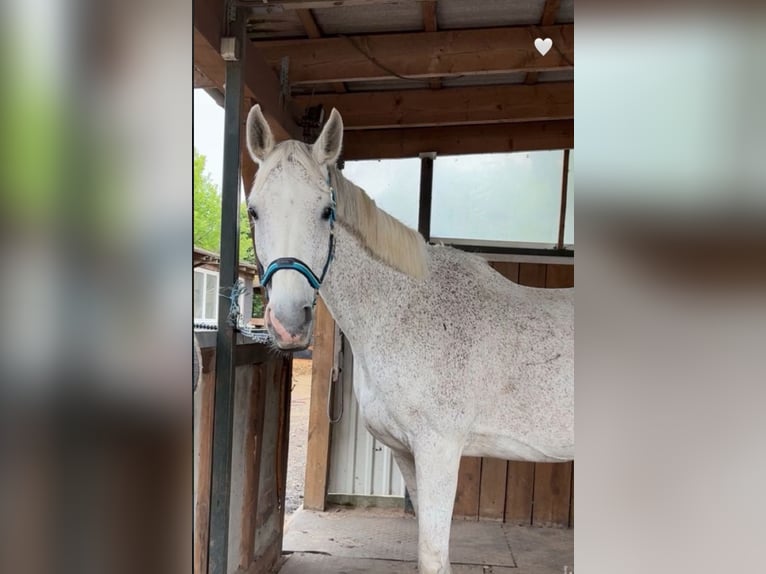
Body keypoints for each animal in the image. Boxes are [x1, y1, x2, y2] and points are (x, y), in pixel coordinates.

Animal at [244, 104, 574, 574]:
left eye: (326, 211)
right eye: (254, 211)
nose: (290, 323)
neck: (405, 311)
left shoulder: (439, 450)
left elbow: (433, 555)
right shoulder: (406, 453)